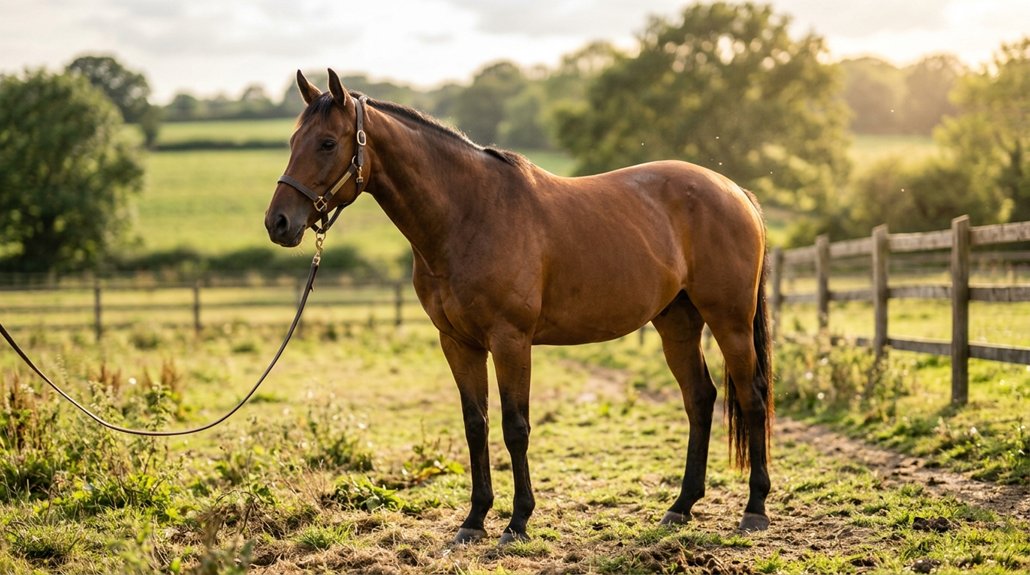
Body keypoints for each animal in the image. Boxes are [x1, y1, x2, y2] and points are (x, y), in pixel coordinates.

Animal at [265, 69, 773, 545]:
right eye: (292, 141)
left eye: (328, 142)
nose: (278, 222)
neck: (469, 215)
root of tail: (736, 192)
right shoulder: (458, 343)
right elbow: (476, 425)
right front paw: (474, 520)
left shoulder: (510, 341)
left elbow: (515, 427)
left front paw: (518, 521)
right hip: (677, 322)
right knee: (700, 398)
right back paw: (681, 506)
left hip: (729, 320)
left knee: (752, 397)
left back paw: (754, 509)